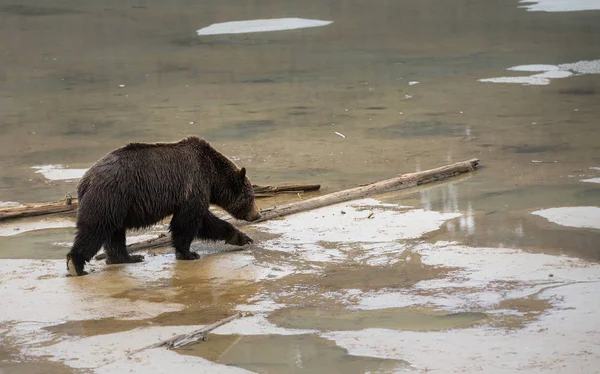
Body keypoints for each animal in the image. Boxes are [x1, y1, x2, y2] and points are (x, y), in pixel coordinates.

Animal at [67, 136, 262, 276]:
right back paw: (76, 265)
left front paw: (241, 236)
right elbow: (189, 221)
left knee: (114, 232)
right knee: (95, 229)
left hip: (117, 205)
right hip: (110, 196)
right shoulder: (194, 184)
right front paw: (189, 254)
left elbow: (206, 222)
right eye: (251, 197)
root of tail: (85, 180)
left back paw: (129, 257)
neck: (214, 176)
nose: (257, 214)